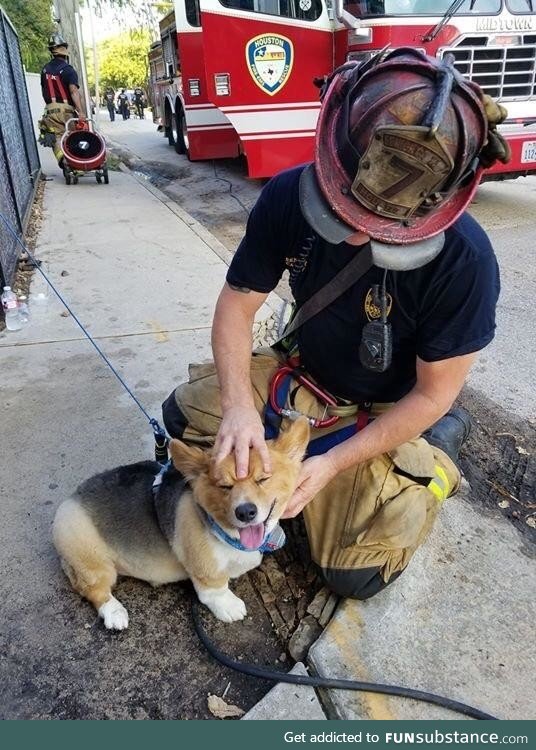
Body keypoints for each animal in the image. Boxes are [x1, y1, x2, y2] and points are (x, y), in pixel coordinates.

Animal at [52, 420, 310, 632]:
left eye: (263, 479)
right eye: (224, 486)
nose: (245, 512)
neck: (226, 533)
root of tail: (71, 498)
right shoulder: (205, 569)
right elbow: (214, 589)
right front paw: (229, 606)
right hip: (92, 558)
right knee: (94, 590)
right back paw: (115, 614)